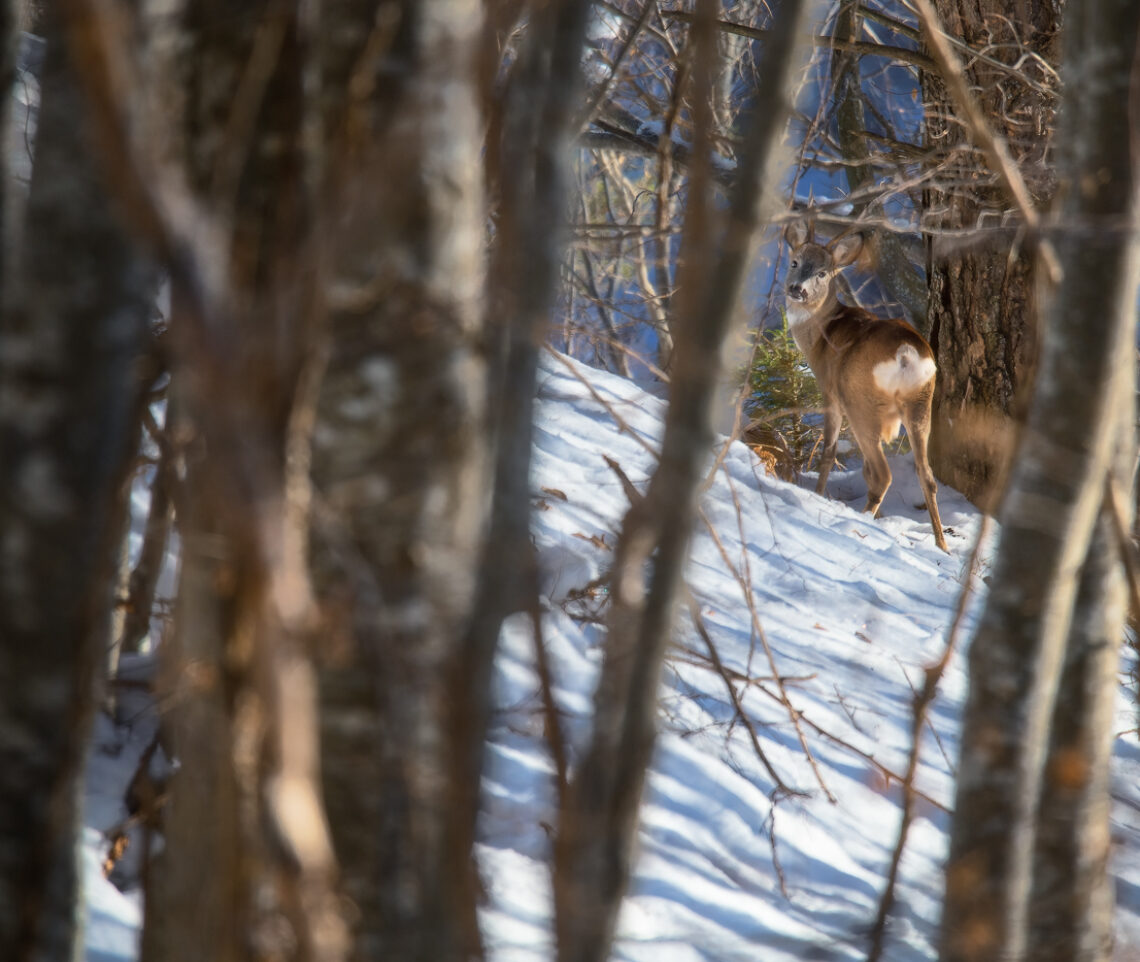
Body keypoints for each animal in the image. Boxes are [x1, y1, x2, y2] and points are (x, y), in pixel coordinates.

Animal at [784, 218, 943, 551]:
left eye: (823, 273)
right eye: (795, 262)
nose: (797, 290)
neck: (820, 337)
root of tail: (905, 353)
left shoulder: (829, 391)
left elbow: (828, 451)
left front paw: (818, 493)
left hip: (860, 401)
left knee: (881, 473)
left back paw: (861, 521)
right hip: (921, 402)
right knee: (926, 475)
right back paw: (941, 545)